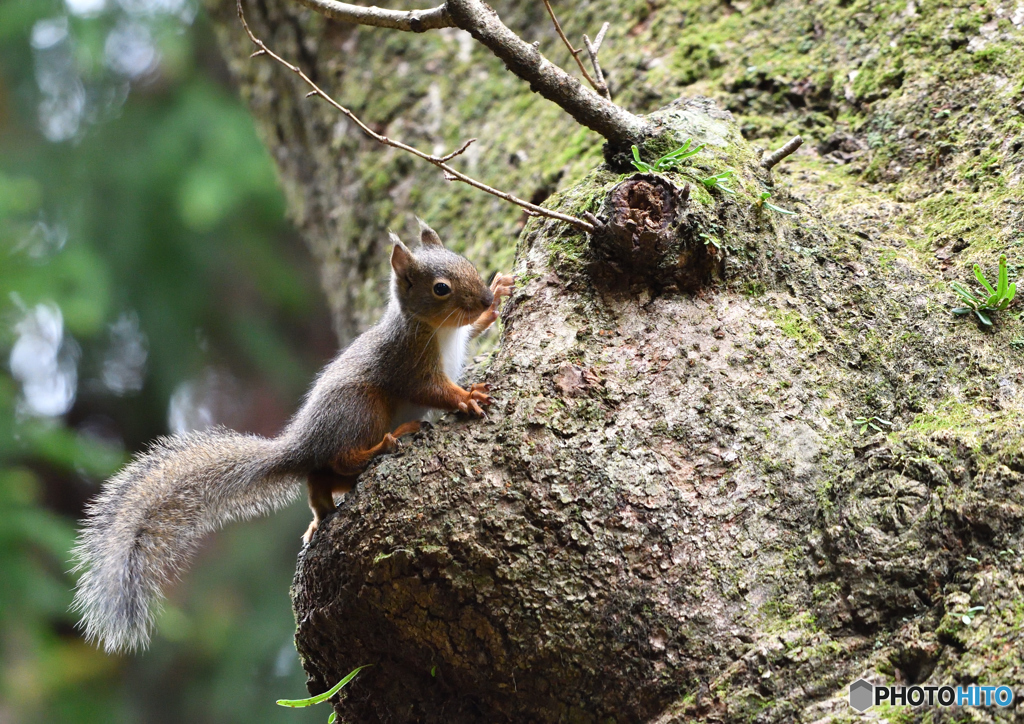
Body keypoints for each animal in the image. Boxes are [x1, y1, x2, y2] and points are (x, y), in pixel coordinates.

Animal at [71, 219, 512, 651]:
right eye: (441, 288)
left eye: (467, 260)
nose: (483, 298)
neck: (437, 330)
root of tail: (303, 444)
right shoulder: (408, 363)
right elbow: (433, 391)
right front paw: (466, 397)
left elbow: (472, 332)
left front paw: (497, 297)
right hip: (361, 407)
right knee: (340, 459)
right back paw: (386, 442)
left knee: (318, 481)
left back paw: (321, 514)